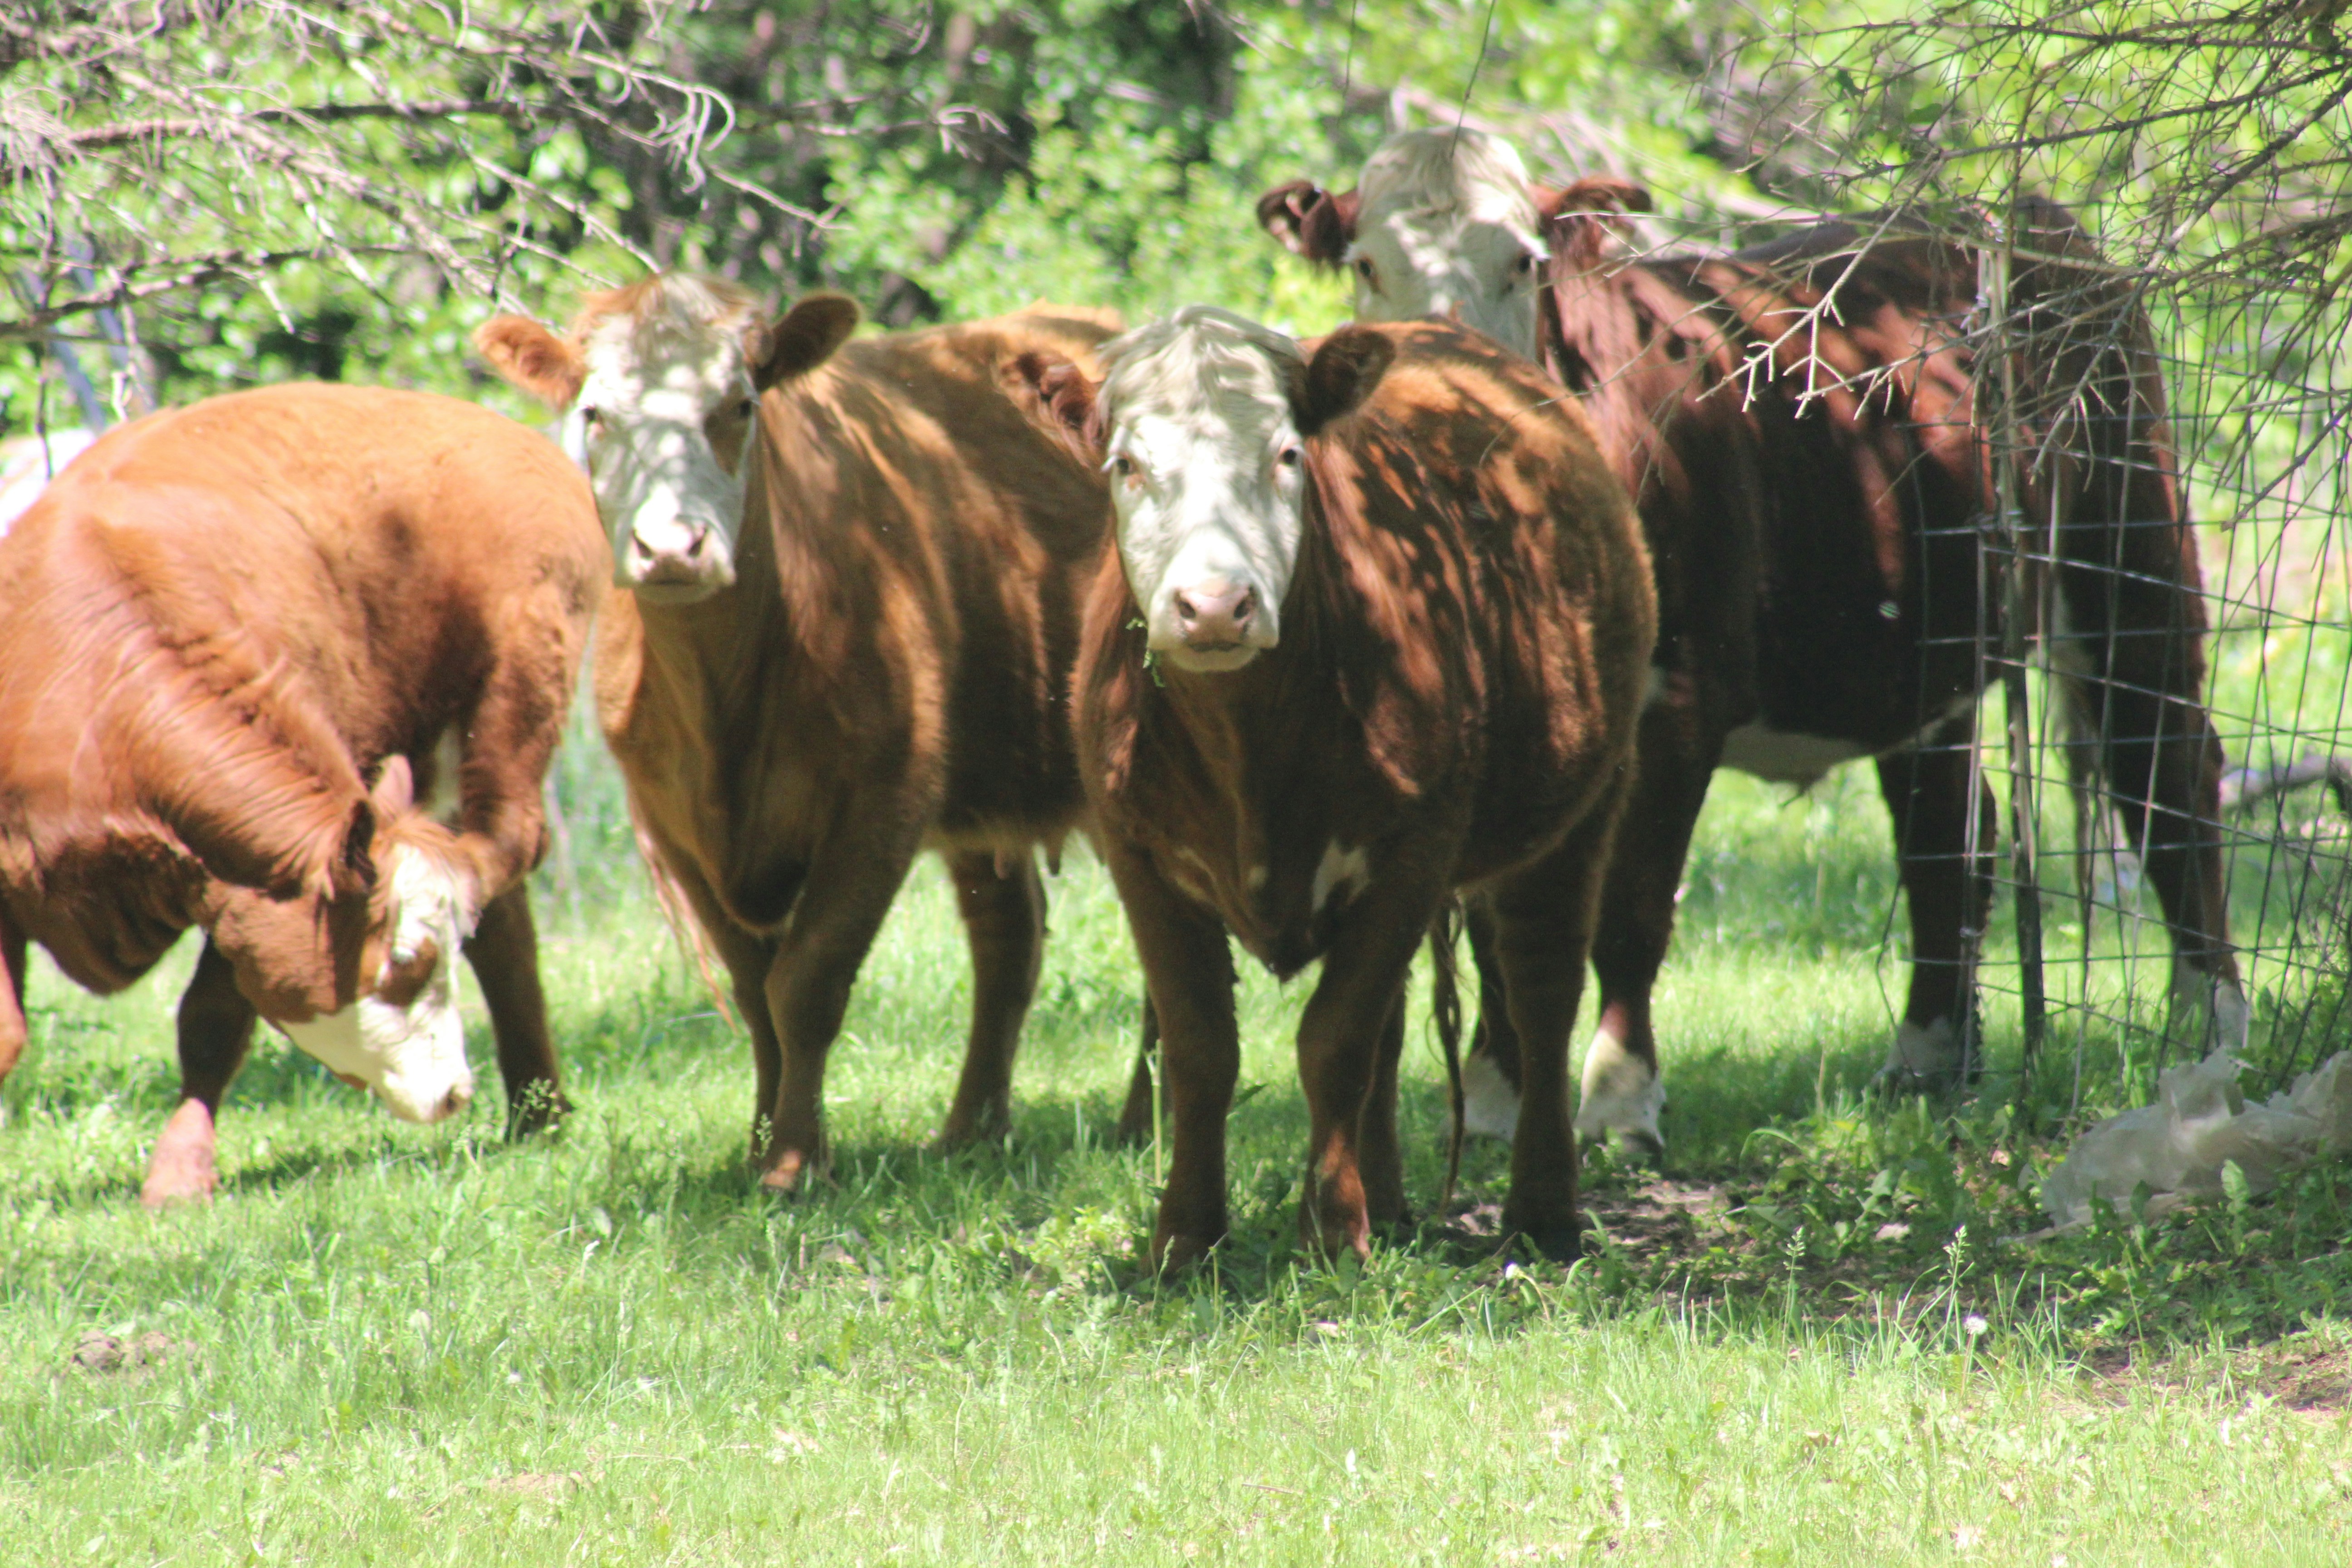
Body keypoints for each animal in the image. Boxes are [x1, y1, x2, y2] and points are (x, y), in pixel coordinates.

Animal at [0, 384, 607, 1204]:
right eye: (407, 962)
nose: (454, 1092)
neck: (103, 696)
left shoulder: (249, 884)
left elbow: (213, 1020)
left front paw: (180, 1176)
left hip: (507, 715)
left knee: (508, 896)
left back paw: (538, 1112)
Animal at [474, 276, 1118, 1190]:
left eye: (740, 404)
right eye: (595, 413)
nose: (671, 548)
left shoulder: (883, 799)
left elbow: (805, 985)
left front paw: (794, 1162)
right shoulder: (673, 825)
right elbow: (754, 994)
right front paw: (756, 1146)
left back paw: (1143, 1118)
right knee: (1009, 938)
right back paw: (970, 1131)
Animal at [1008, 308, 1655, 1267]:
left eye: (1285, 455)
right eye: (1125, 464)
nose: (1213, 605)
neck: (1246, 744)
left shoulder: (1416, 845)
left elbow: (1333, 1041)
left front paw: (1330, 1234)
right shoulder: (1137, 854)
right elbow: (1203, 1046)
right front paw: (1184, 1240)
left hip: (1585, 804)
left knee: (1541, 992)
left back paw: (1539, 1214)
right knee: (1397, 1021)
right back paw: (1385, 1200)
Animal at [1256, 128, 2240, 1150]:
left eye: (1523, 262)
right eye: (1367, 265)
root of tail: (2029, 221)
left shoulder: (1680, 700)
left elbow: (1630, 911)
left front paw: (1620, 1099)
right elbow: (1496, 916)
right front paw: (1496, 1095)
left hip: (2128, 551)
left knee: (2167, 775)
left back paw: (2210, 1024)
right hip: (1929, 636)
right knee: (1948, 835)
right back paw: (1928, 1057)